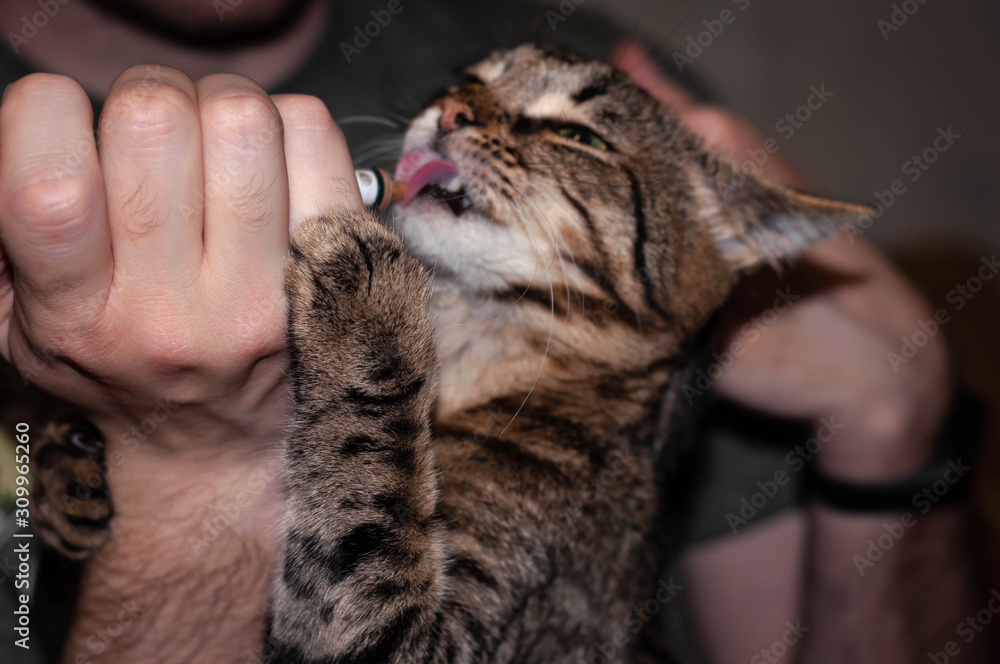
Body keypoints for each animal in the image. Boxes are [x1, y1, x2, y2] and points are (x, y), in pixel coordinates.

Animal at [33, 44, 868, 660]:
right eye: (469, 81)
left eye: (581, 138)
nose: (454, 108)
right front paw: (61, 461)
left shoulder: (421, 639)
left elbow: (369, 478)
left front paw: (372, 309)